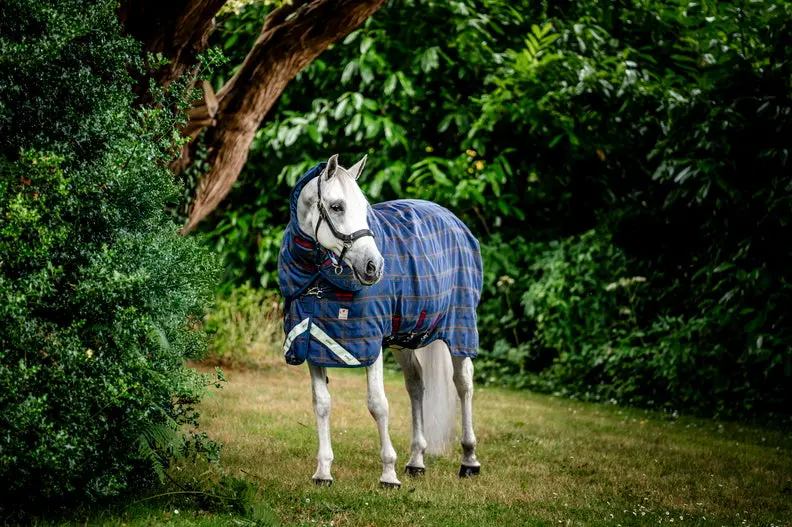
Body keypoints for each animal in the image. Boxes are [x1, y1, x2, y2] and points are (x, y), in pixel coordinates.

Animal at [278, 154, 483, 488]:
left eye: (365, 208)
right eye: (337, 206)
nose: (374, 266)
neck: (319, 282)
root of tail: (451, 218)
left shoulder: (370, 343)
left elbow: (378, 404)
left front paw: (388, 474)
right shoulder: (313, 341)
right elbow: (321, 403)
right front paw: (323, 471)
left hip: (460, 327)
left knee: (463, 384)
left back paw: (469, 459)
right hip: (405, 338)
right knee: (416, 385)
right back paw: (416, 461)